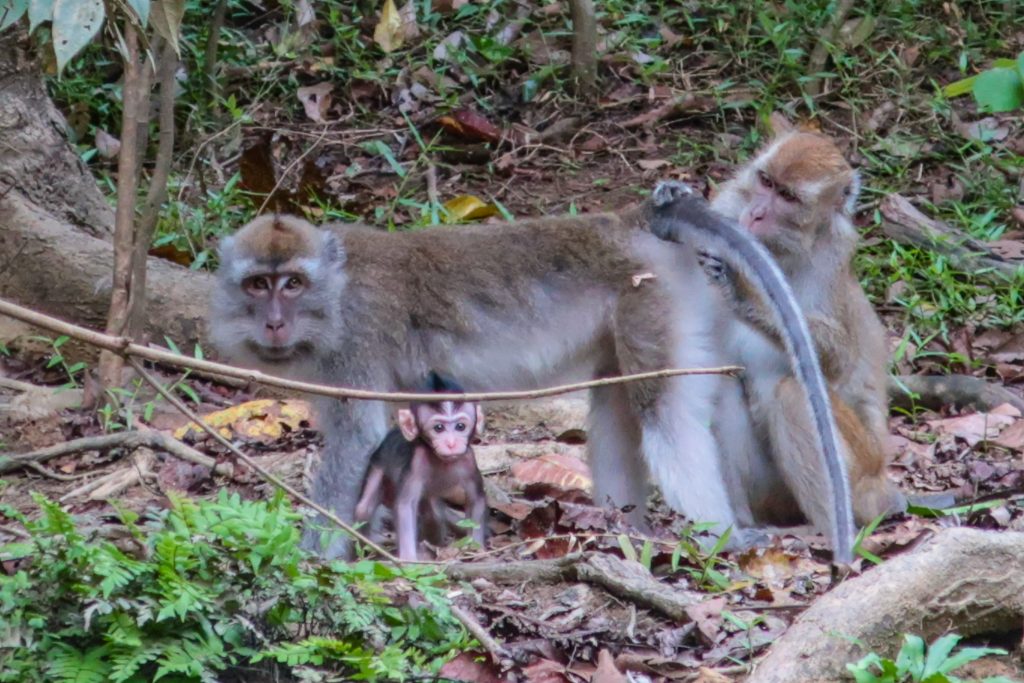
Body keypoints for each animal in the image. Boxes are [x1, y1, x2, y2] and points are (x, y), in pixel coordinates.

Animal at [352, 374, 487, 561]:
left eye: (460, 426)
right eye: (439, 428)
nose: (451, 443)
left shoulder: (468, 460)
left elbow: (476, 499)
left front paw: (476, 548)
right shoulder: (416, 462)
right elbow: (405, 506)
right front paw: (408, 557)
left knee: (434, 515)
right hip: (378, 467)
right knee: (363, 509)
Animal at [696, 120, 905, 532]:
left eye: (788, 197)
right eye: (765, 181)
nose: (756, 214)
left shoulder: (833, 254)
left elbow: (837, 359)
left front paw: (744, 287)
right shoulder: (727, 207)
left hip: (862, 469)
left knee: (794, 394)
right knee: (721, 386)